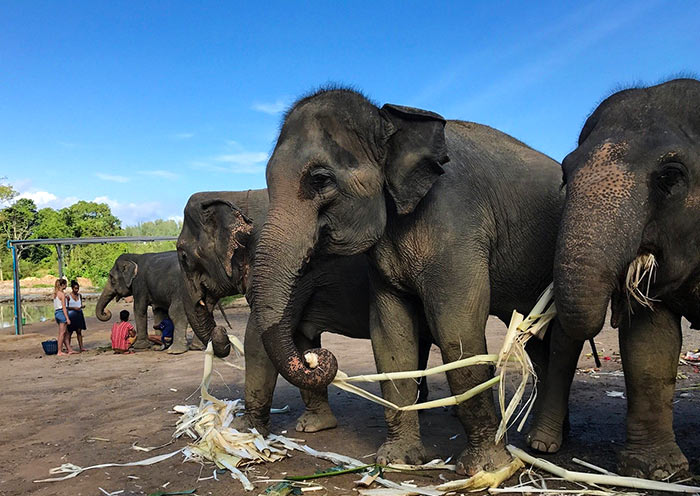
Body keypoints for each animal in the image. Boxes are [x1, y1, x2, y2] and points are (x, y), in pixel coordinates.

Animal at [176, 190, 432, 434]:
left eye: (183, 256)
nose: (222, 330)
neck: (235, 196)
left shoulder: (295, 273)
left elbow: (257, 341)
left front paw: (243, 429)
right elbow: (300, 338)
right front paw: (313, 426)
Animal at [249, 88, 567, 475]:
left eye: (320, 180)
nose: (313, 357)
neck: (388, 120)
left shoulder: (455, 222)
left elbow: (456, 328)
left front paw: (487, 470)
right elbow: (391, 333)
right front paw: (398, 460)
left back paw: (543, 443)